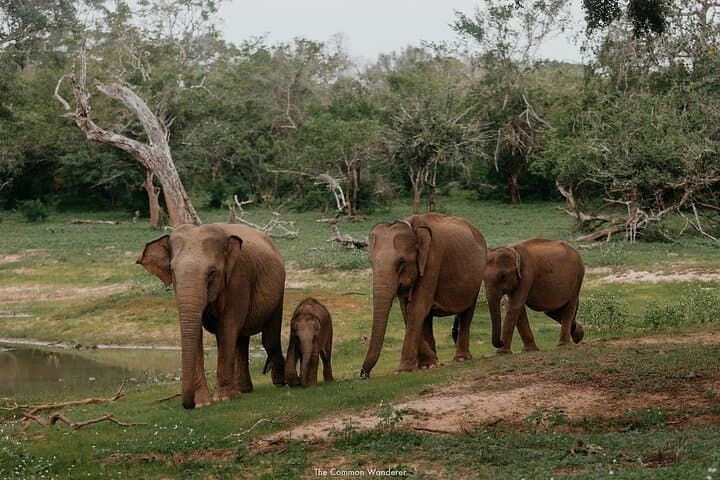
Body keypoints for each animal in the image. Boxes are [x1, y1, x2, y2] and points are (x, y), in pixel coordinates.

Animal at [138, 223, 286, 409]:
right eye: (172, 271)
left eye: (212, 272)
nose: (188, 405)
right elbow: (198, 334)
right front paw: (203, 403)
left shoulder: (239, 278)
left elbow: (228, 327)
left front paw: (225, 398)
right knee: (242, 341)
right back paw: (243, 390)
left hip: (279, 291)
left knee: (269, 339)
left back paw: (279, 384)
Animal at [360, 213, 488, 378]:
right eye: (371, 262)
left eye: (401, 262)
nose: (363, 375)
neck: (412, 226)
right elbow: (407, 310)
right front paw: (428, 364)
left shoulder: (433, 259)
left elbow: (417, 308)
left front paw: (403, 370)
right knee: (428, 319)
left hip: (477, 277)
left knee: (467, 312)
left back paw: (461, 359)